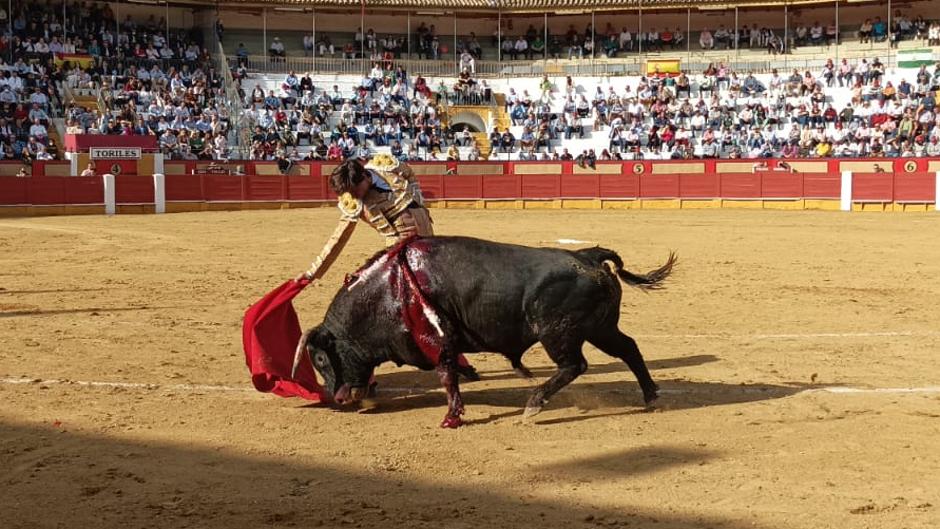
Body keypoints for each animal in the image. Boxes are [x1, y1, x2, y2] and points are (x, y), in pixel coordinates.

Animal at [302, 237, 676, 426]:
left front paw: (451, 418)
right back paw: (650, 397)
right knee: (629, 348)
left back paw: (533, 405)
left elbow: (447, 375)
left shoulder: (438, 341)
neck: (388, 290)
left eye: (320, 359)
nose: (336, 398)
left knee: (575, 365)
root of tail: (588, 256)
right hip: (600, 328)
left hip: (559, 332)